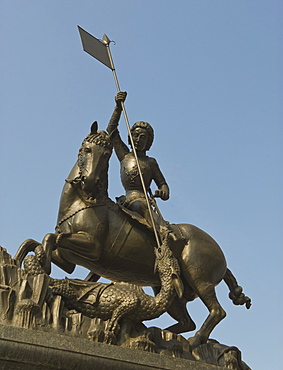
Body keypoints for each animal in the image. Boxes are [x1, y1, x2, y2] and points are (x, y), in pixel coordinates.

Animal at [14, 122, 252, 350]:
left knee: (216, 312)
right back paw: (160, 335)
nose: (89, 181)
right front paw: (21, 260)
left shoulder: (92, 249)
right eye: (86, 149)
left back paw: (191, 341)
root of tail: (216, 248)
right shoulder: (69, 259)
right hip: (169, 285)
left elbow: (48, 238)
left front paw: (41, 266)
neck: (84, 202)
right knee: (185, 321)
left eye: (106, 155)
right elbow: (35, 242)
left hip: (199, 279)